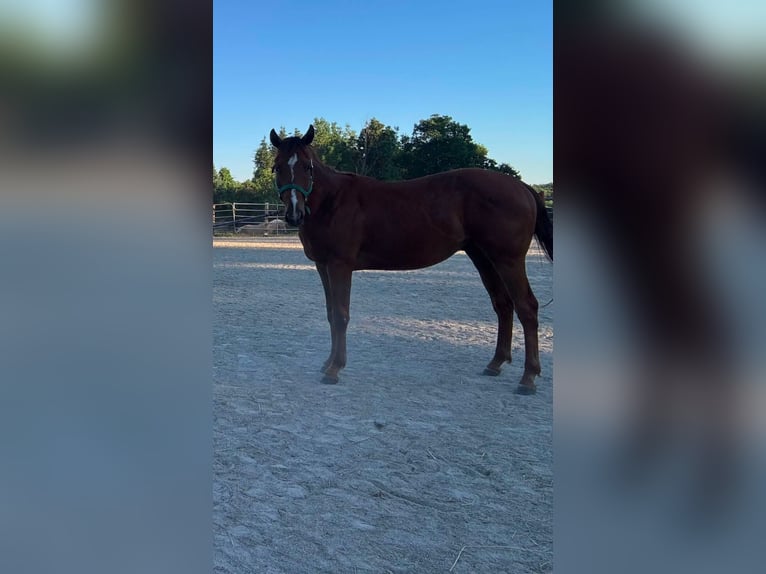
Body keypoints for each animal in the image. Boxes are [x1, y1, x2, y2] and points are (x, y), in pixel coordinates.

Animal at [270, 125, 553, 394]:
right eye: (277, 167)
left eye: (307, 166)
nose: (294, 214)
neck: (332, 201)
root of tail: (522, 187)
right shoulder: (323, 266)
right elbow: (330, 314)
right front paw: (328, 362)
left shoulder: (340, 265)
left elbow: (340, 315)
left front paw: (334, 369)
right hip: (484, 258)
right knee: (503, 305)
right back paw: (495, 364)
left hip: (508, 260)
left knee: (526, 307)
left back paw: (528, 378)